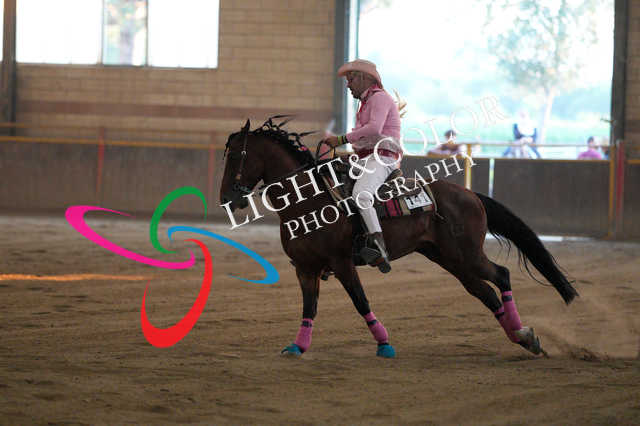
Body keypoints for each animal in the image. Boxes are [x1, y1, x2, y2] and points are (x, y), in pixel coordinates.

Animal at [219, 117, 578, 358]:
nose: (227, 198)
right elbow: (309, 308)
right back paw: (522, 337)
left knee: (501, 276)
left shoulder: (343, 262)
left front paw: (384, 343)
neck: (311, 201)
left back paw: (522, 333)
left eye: (237, 156)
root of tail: (470, 194)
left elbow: (360, 301)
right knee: (485, 294)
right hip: (450, 259)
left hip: (468, 255)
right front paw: (298, 346)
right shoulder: (305, 268)